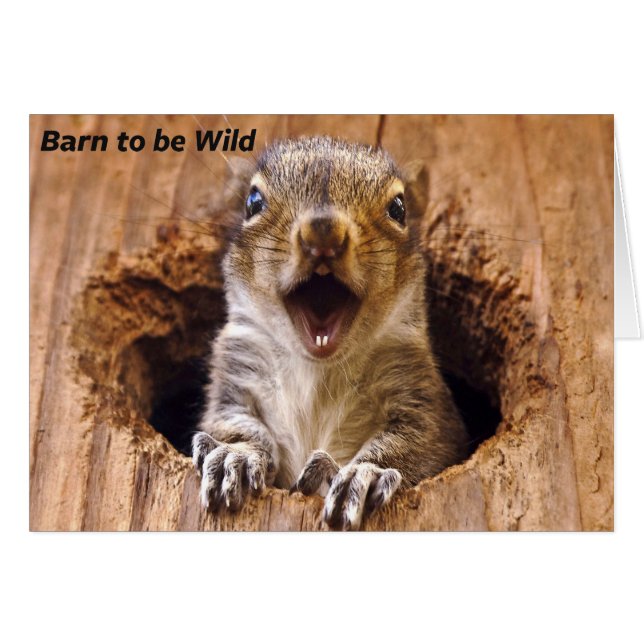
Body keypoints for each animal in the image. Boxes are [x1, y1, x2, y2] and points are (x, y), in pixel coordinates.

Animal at [192, 136, 468, 530]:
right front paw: (236, 455)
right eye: (253, 202)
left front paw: (365, 474)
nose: (323, 230)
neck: (317, 368)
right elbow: (231, 423)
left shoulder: (420, 395)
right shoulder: (234, 373)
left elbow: (418, 442)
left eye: (399, 208)